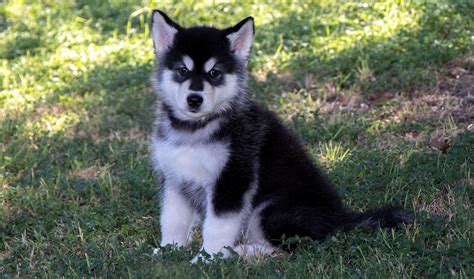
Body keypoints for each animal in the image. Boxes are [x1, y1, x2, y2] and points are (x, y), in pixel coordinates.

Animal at [150, 9, 412, 262]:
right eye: (182, 71)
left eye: (214, 73)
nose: (194, 99)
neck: (195, 128)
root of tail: (338, 219)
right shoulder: (175, 180)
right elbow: (172, 220)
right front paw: (169, 249)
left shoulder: (232, 179)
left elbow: (217, 227)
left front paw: (209, 257)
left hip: (271, 208)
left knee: (289, 247)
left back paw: (242, 252)